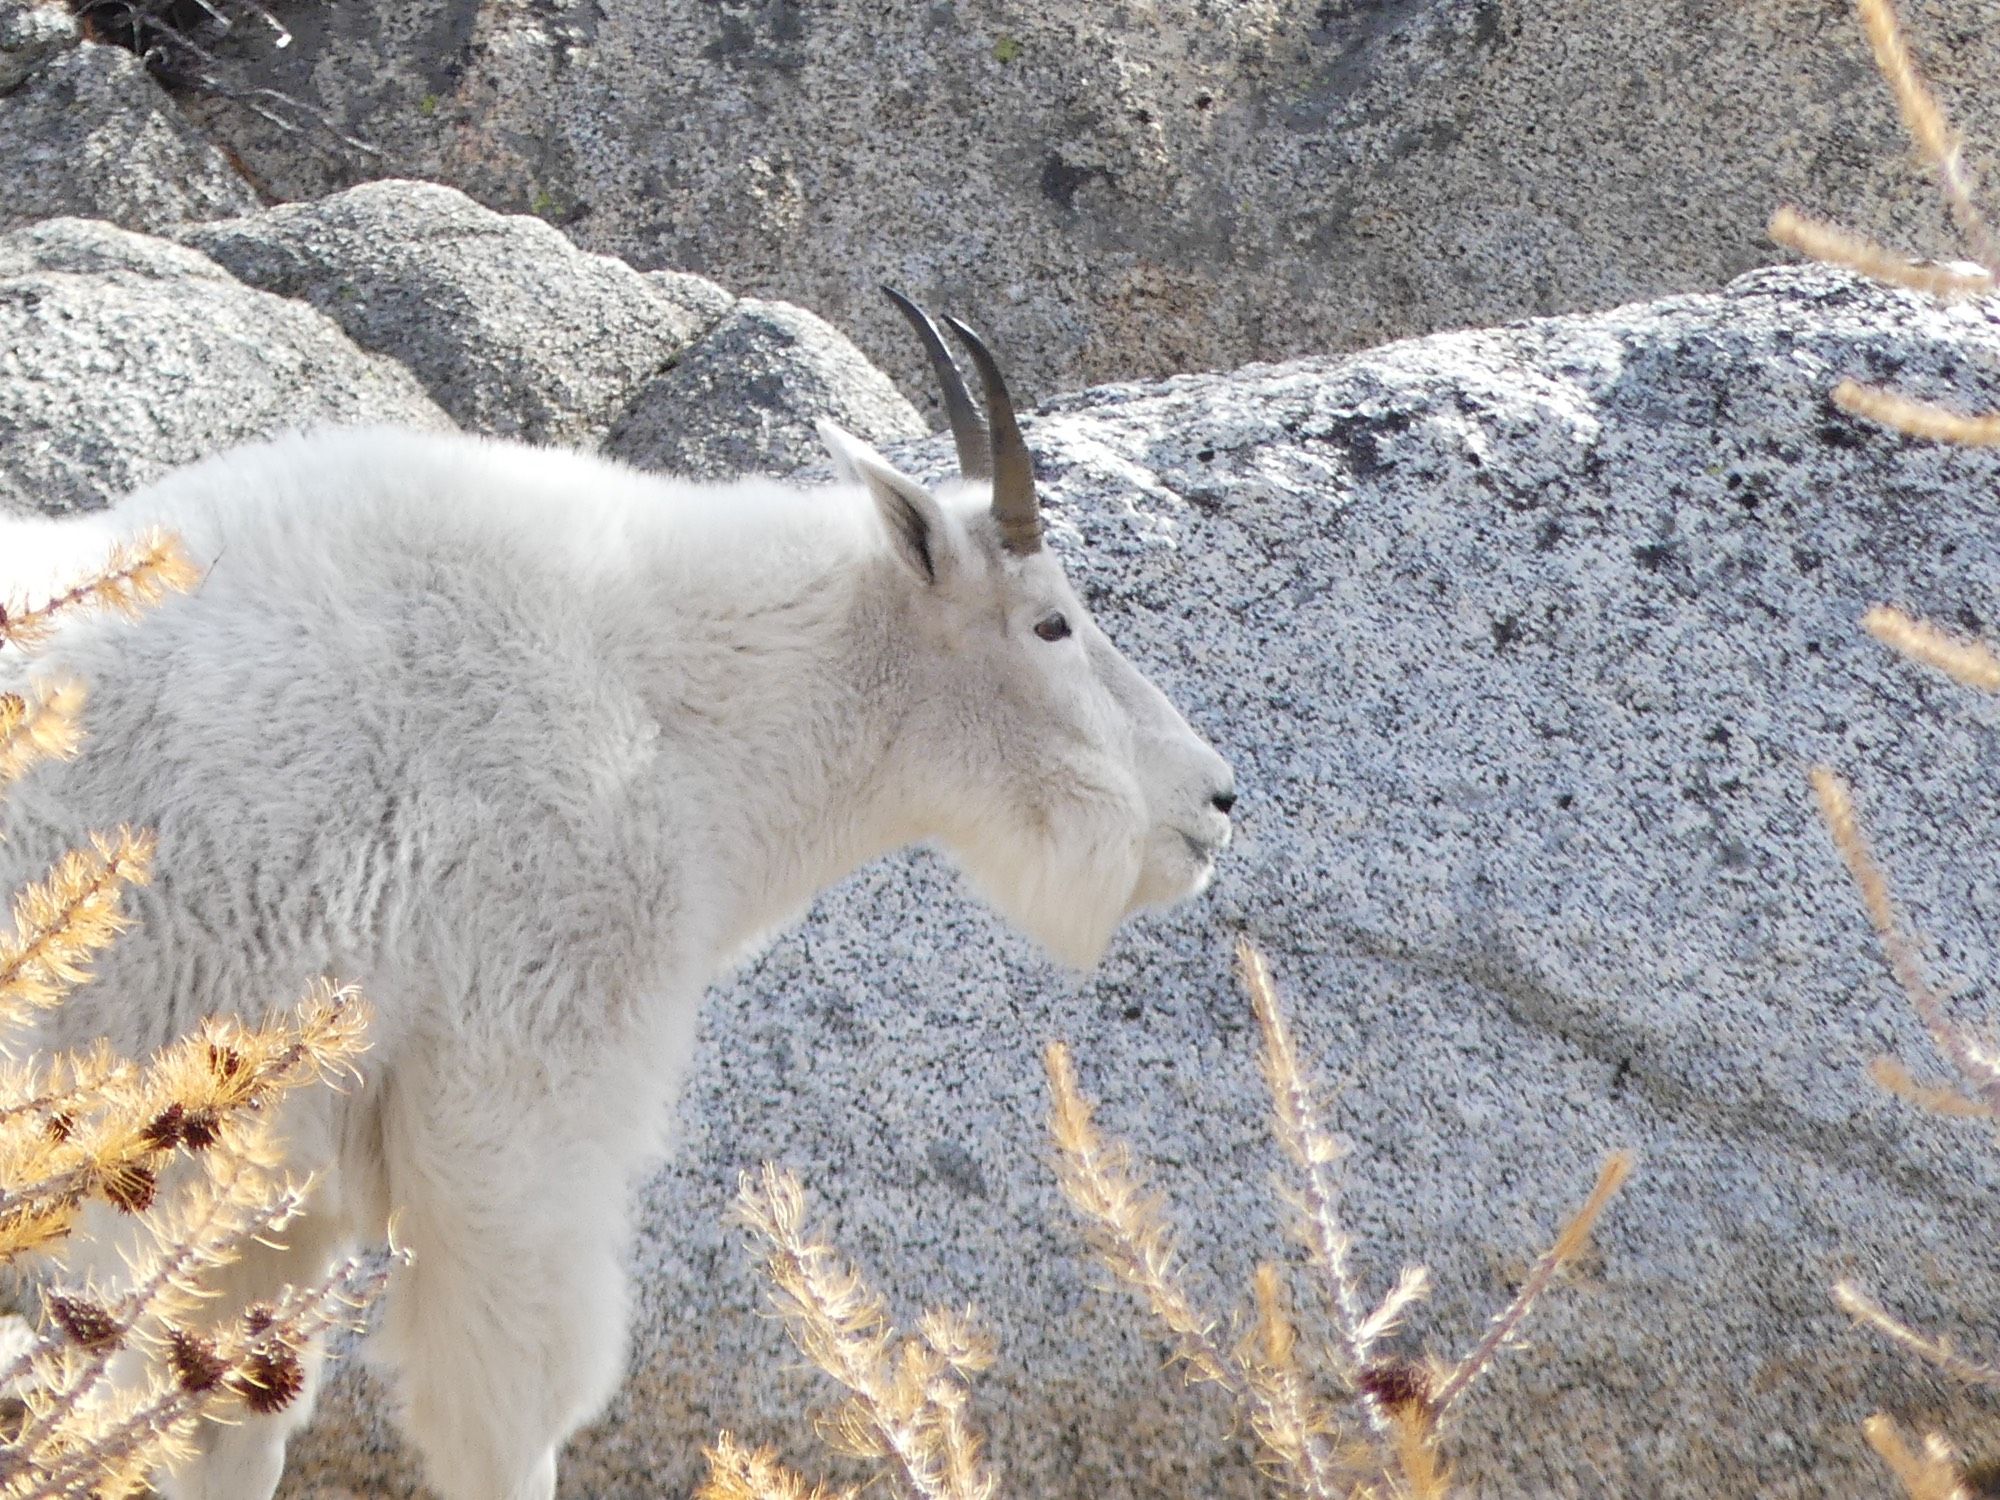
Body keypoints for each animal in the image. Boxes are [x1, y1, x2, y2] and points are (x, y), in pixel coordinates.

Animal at [0, 294, 1232, 1500]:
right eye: (1052, 622)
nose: (1214, 800)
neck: (671, 704)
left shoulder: (271, 1153)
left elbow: (232, 1420)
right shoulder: (519, 1088)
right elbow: (503, 1416)